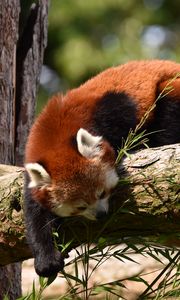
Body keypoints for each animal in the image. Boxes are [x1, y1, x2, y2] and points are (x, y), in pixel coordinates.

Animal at [23, 59, 180, 278]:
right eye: (79, 207)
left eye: (102, 193)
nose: (101, 215)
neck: (55, 132)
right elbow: (35, 215)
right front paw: (46, 259)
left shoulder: (114, 108)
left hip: (170, 88)